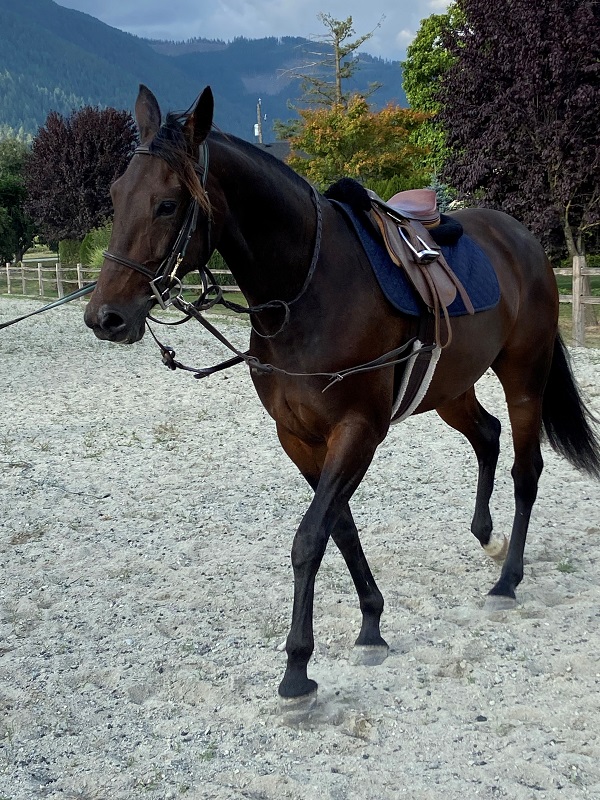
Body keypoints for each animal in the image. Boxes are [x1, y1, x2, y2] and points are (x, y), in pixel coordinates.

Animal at [84, 84, 600, 707]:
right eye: (116, 196)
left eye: (166, 204)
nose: (105, 317)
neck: (306, 293)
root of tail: (523, 240)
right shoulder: (300, 438)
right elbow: (341, 528)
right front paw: (372, 624)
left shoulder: (357, 431)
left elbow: (310, 538)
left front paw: (297, 669)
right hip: (449, 387)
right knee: (487, 435)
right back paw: (488, 537)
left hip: (523, 375)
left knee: (526, 469)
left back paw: (507, 579)